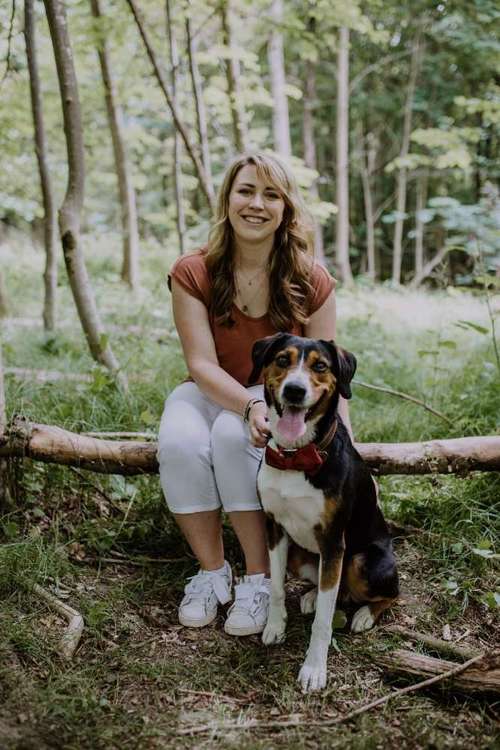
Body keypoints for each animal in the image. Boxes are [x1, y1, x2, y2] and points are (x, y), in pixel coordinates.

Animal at [249, 334, 398, 692]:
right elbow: (276, 588)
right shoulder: (274, 528)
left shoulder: (333, 543)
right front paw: (275, 627)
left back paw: (365, 614)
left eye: (320, 366)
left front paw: (314, 669)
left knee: (392, 594)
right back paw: (313, 596)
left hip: (363, 562)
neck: (295, 456)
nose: (294, 391)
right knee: (333, 588)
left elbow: (323, 623)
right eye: (282, 360)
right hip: (301, 557)